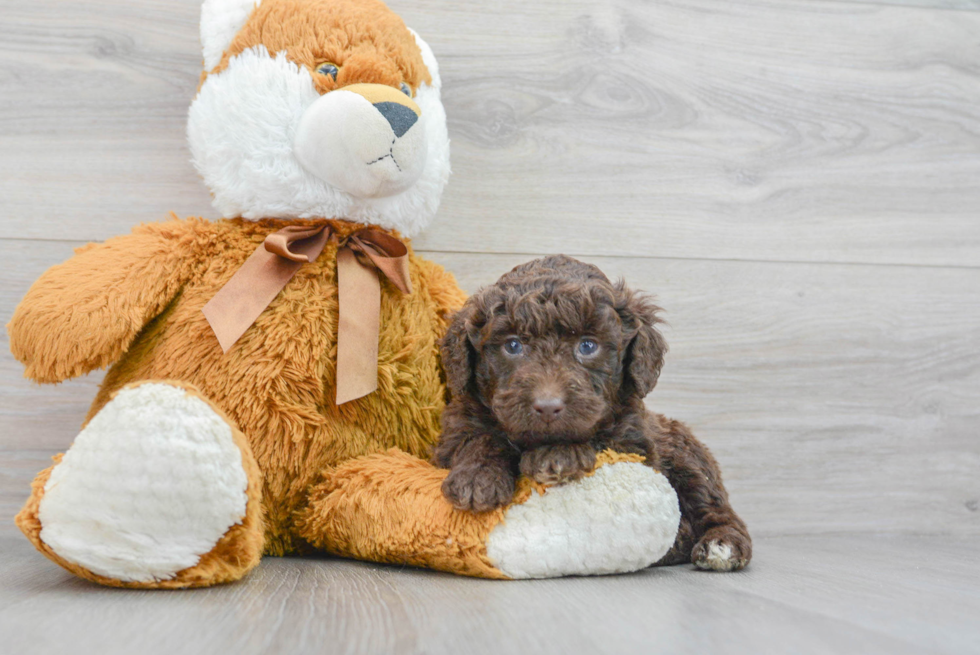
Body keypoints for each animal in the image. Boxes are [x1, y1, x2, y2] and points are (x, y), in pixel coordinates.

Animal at [434, 254, 752, 572]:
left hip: (688, 457)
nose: (547, 406)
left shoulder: (634, 445)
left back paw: (720, 544)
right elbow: (479, 438)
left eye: (588, 346)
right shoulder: (456, 428)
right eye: (513, 345)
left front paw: (559, 455)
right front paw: (477, 477)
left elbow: (598, 438)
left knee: (715, 507)